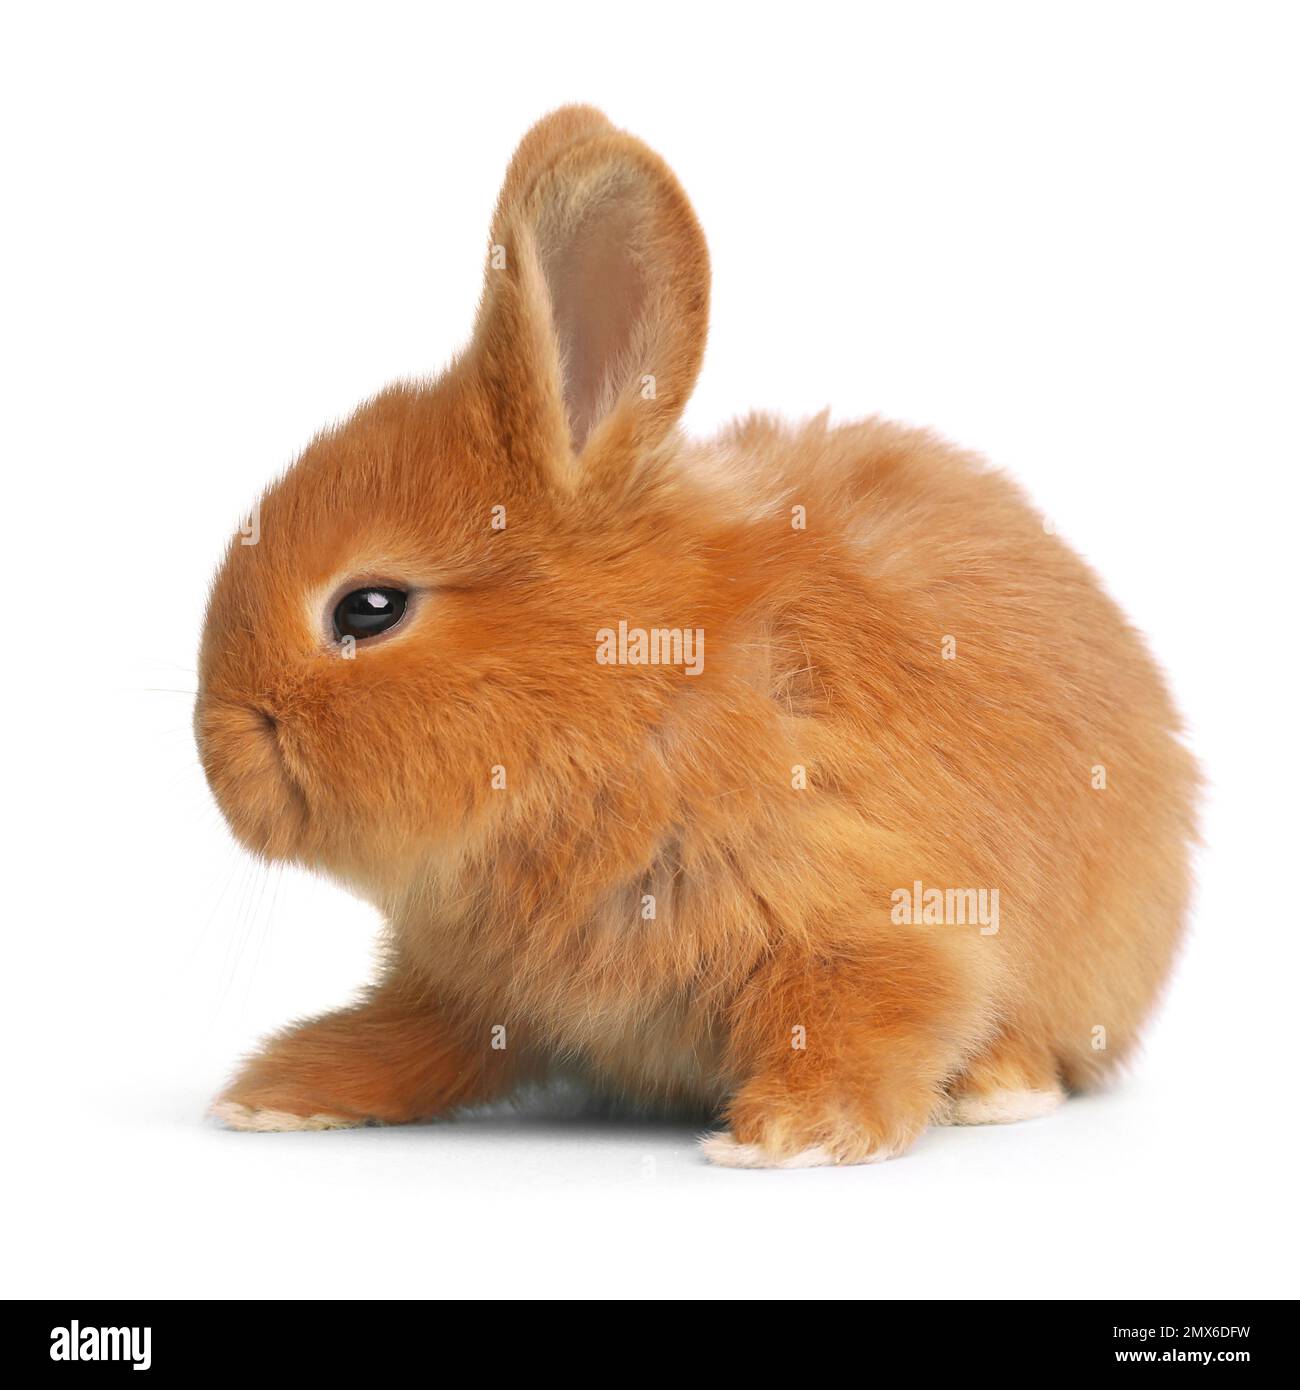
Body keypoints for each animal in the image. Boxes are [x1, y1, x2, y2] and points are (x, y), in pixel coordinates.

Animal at [197, 105, 1198, 1166]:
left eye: (369, 609)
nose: (218, 750)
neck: (637, 699)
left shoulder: (866, 915)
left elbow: (878, 1012)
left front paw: (790, 1136)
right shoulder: (466, 993)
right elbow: (410, 1041)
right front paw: (282, 1093)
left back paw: (998, 1092)